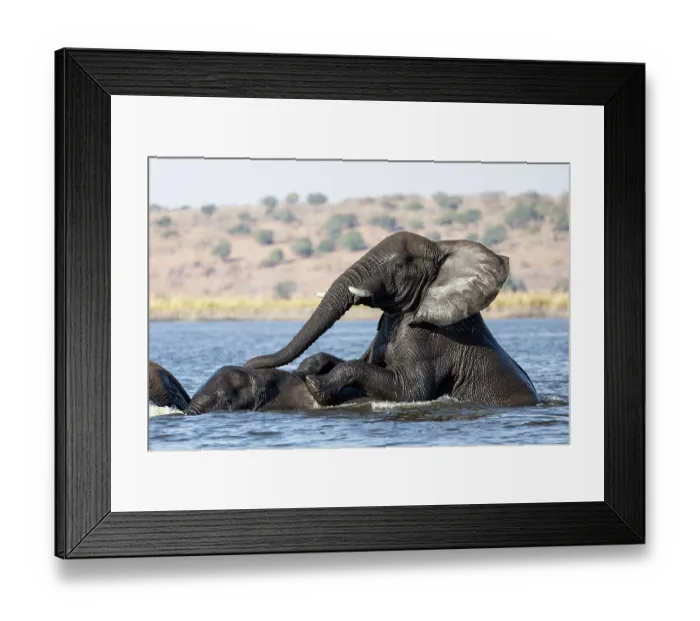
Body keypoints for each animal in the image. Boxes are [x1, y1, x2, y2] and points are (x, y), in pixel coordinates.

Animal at [245, 231, 538, 407]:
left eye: (398, 266)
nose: (248, 363)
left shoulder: (433, 338)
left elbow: (412, 390)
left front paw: (316, 386)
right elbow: (362, 361)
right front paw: (306, 369)